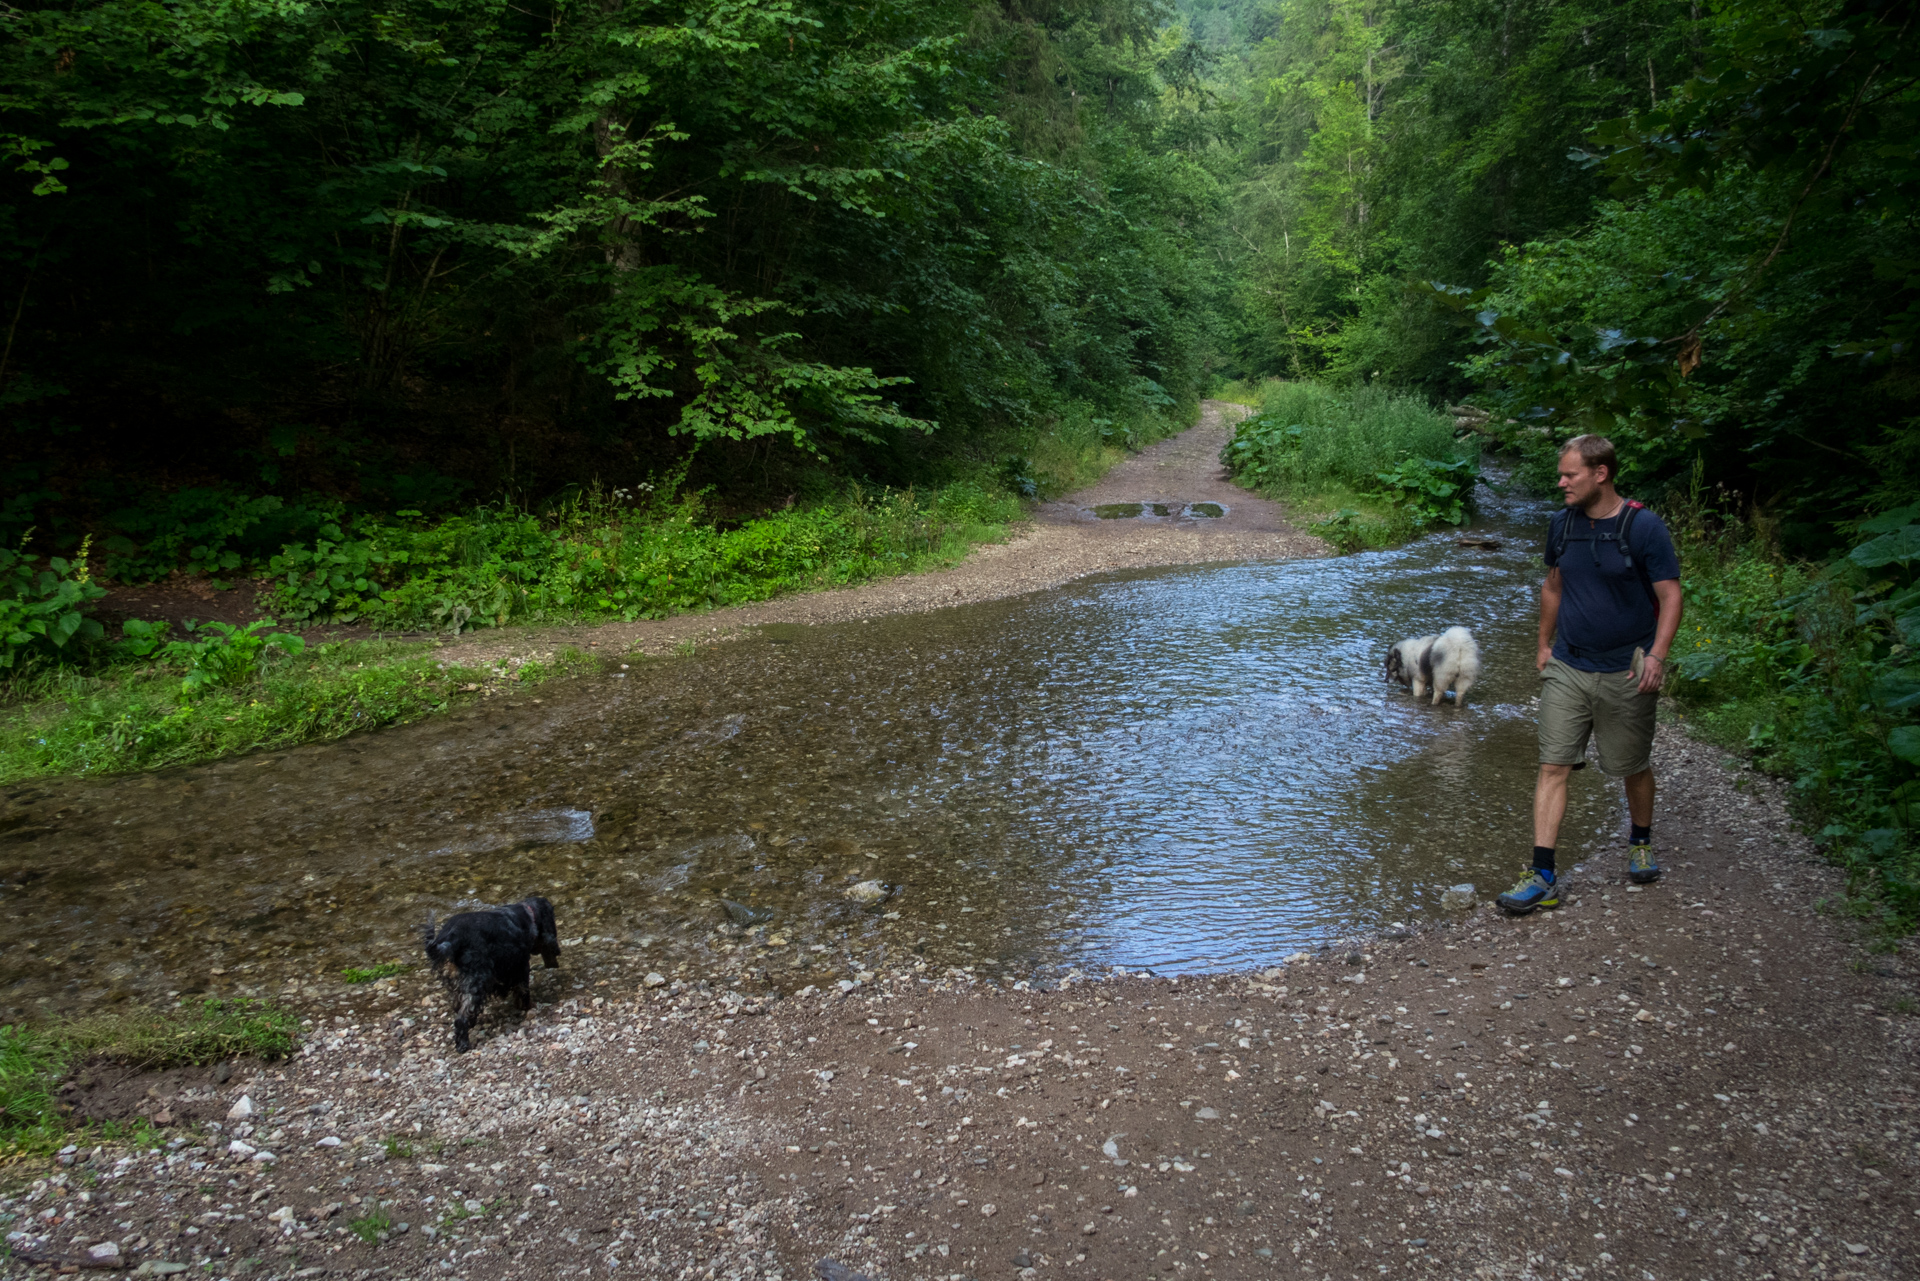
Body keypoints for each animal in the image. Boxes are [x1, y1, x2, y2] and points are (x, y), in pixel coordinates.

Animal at [422, 902, 560, 1052]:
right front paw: (527, 1007)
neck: (527, 915)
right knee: (461, 1018)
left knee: (459, 1007)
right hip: (476, 981)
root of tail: (451, 939)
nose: (558, 951)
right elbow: (523, 991)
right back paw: (463, 1044)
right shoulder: (521, 966)